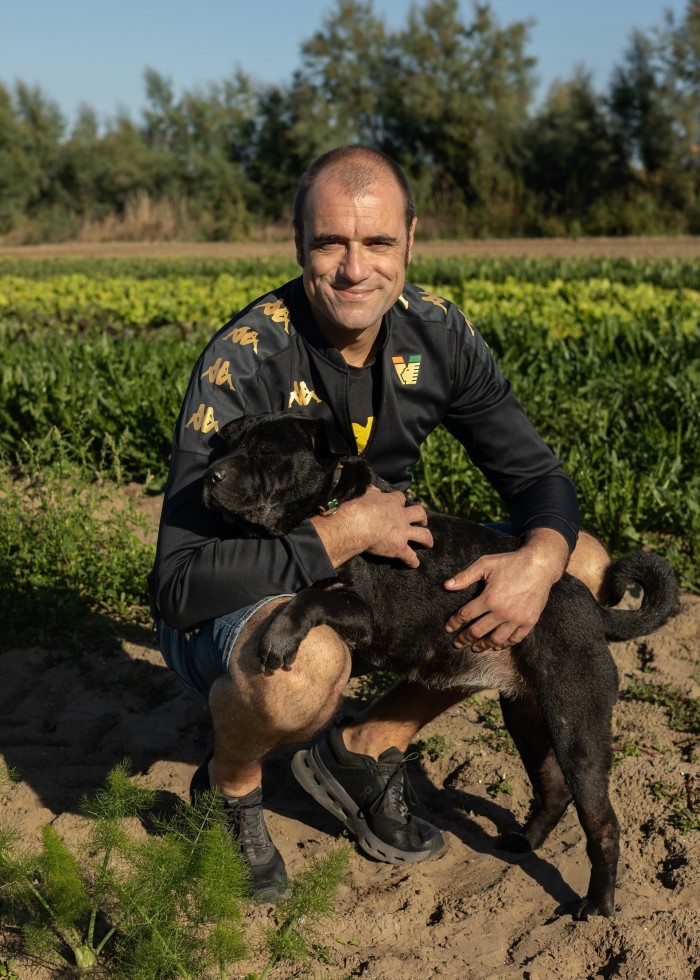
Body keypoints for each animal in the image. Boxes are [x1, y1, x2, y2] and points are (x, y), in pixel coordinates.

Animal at [201, 412, 680, 920]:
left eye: (269, 454)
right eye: (226, 447)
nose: (210, 476)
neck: (326, 503)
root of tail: (594, 612)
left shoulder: (365, 612)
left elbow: (309, 597)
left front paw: (278, 634)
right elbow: (302, 590)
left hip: (577, 724)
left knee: (603, 823)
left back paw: (598, 903)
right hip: (527, 716)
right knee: (553, 789)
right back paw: (523, 842)